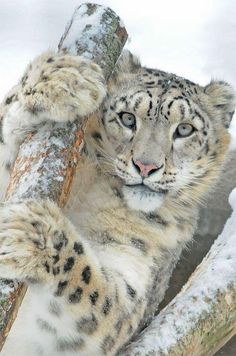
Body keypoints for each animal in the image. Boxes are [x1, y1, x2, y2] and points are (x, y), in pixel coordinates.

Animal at [0, 50, 234, 356]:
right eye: (127, 118)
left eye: (184, 129)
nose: (146, 166)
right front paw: (62, 78)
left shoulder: (131, 291)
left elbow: (94, 288)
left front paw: (32, 234)